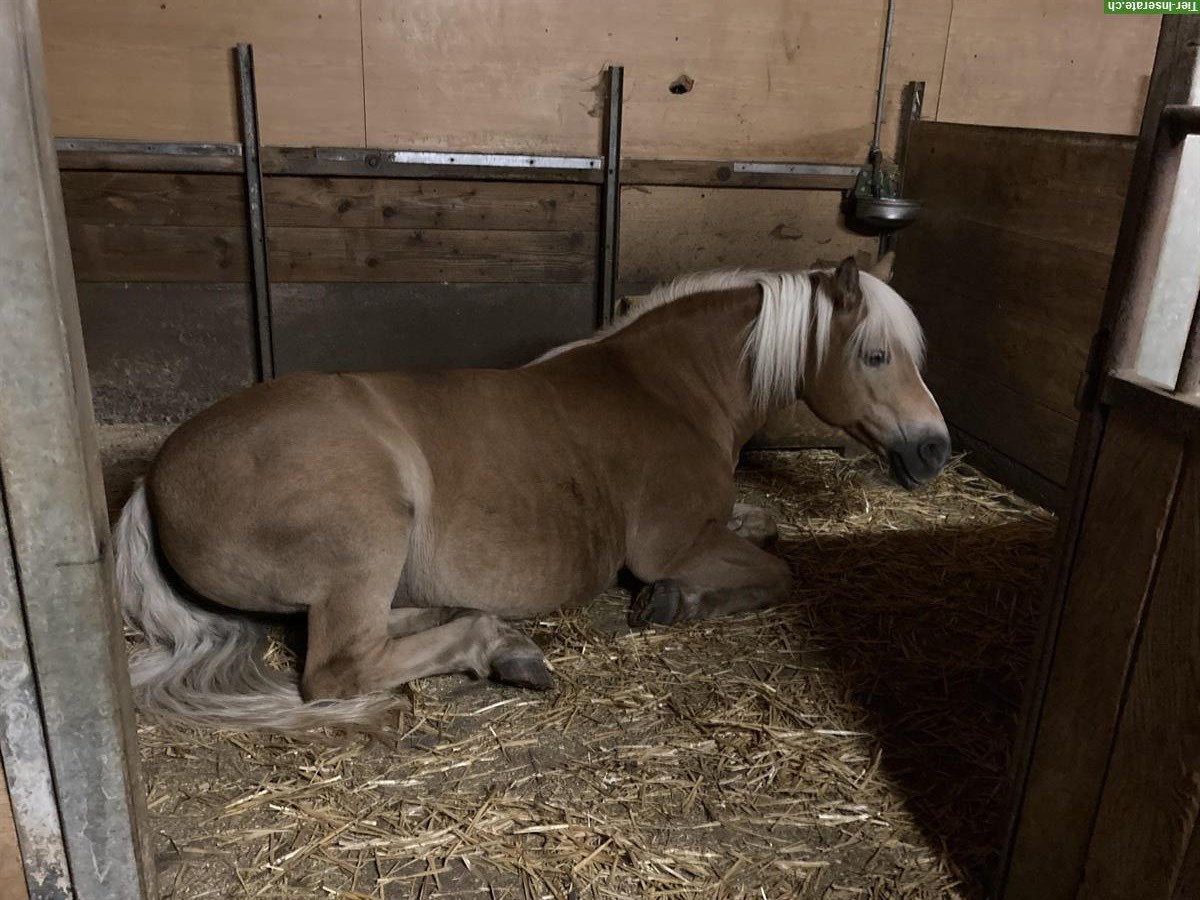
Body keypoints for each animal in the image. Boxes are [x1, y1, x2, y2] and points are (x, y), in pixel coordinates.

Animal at [117, 254, 950, 734]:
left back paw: (490, 631)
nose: (934, 448)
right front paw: (674, 601)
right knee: (342, 666)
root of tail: (156, 483)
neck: (670, 389)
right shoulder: (672, 543)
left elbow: (767, 524)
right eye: (876, 355)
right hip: (369, 540)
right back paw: (499, 646)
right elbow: (778, 573)